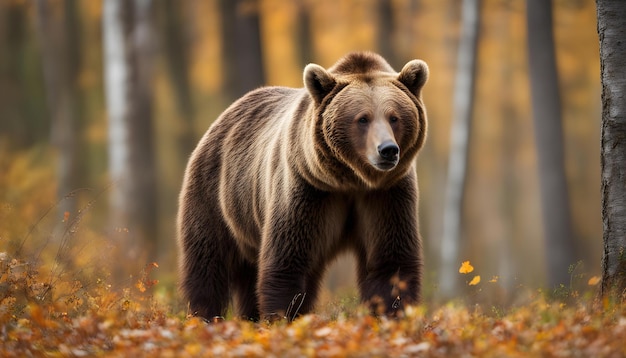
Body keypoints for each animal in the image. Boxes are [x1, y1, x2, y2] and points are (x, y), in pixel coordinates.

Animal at [178, 51, 426, 322]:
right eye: (363, 118)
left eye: (394, 117)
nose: (388, 150)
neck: (351, 180)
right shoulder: (308, 190)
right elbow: (289, 261)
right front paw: (283, 318)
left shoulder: (386, 196)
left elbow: (390, 262)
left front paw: (392, 315)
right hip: (215, 197)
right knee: (208, 263)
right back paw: (203, 317)